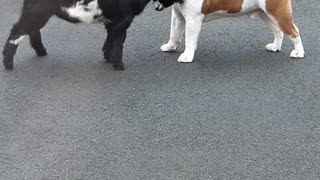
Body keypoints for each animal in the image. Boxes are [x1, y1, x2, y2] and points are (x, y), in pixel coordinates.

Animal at [1, 0, 168, 70]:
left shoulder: (112, 20)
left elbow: (110, 38)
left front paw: (108, 58)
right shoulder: (123, 19)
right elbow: (119, 41)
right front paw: (119, 65)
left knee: (32, 30)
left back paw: (41, 51)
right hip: (37, 11)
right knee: (17, 31)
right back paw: (8, 64)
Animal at [154, 0, 304, 62]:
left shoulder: (193, 20)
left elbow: (190, 41)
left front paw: (187, 56)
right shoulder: (177, 16)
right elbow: (174, 34)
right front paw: (170, 47)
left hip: (278, 13)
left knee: (294, 31)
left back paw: (299, 53)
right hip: (265, 14)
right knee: (278, 31)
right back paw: (275, 47)